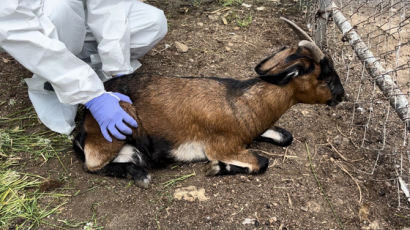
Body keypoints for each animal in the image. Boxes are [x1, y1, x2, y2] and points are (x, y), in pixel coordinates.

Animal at [73, 17, 342, 187]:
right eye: (326, 76)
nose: (341, 96)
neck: (242, 103)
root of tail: (85, 118)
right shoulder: (222, 146)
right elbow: (262, 162)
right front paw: (217, 168)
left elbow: (286, 136)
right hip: (114, 130)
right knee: (91, 165)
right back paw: (140, 175)